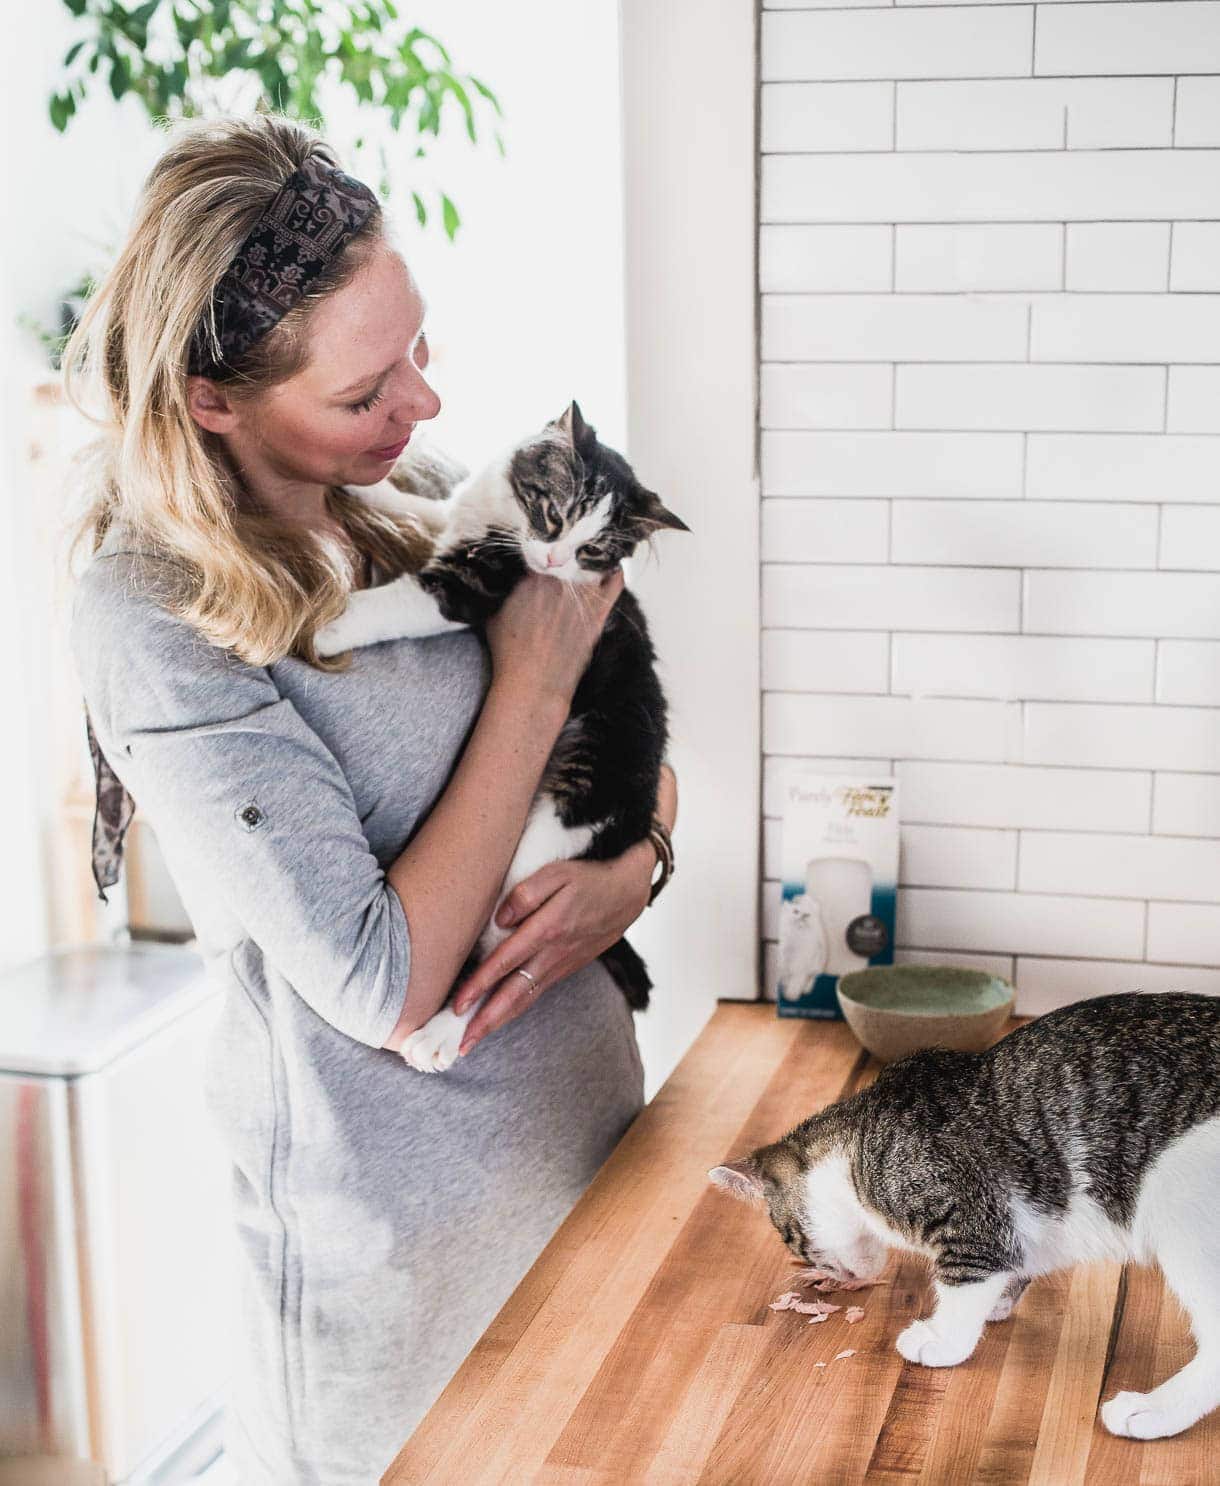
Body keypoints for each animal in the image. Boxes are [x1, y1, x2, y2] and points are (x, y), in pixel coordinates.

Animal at [313, 401, 686, 1075]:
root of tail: (634, 815)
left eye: (593, 549)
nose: (553, 563)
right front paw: (365, 487)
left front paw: (333, 624)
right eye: (554, 515)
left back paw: (440, 1034)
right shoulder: (468, 517)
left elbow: (400, 601)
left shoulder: (474, 587)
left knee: (502, 956)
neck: (507, 518)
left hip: (553, 832)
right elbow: (432, 508)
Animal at [710, 998, 1218, 1438]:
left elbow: (964, 1279)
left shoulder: (975, 1220)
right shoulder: (1027, 1226)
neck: (856, 1149)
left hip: (1181, 1210)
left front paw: (943, 1338)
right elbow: (1015, 1266)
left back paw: (1153, 1411)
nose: (833, 1276)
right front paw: (996, 1303)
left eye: (791, 1239)